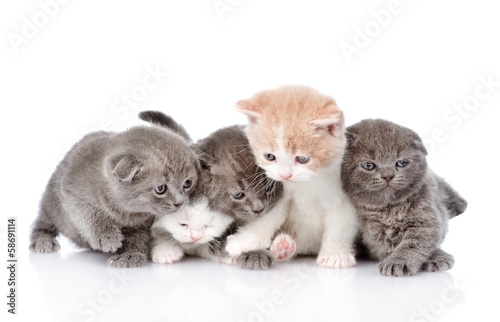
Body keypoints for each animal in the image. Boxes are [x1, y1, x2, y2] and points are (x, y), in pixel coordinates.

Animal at [30, 124, 199, 268]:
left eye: (187, 183)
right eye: (160, 188)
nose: (180, 202)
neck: (125, 212)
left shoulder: (141, 225)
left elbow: (137, 238)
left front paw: (130, 255)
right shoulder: (71, 192)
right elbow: (89, 213)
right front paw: (106, 237)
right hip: (51, 202)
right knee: (43, 222)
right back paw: (42, 240)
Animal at [227, 85, 360, 266]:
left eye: (302, 159)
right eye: (269, 156)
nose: (285, 175)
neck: (307, 183)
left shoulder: (343, 199)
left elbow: (340, 226)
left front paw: (335, 254)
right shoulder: (281, 191)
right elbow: (269, 215)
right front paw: (245, 239)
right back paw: (282, 248)